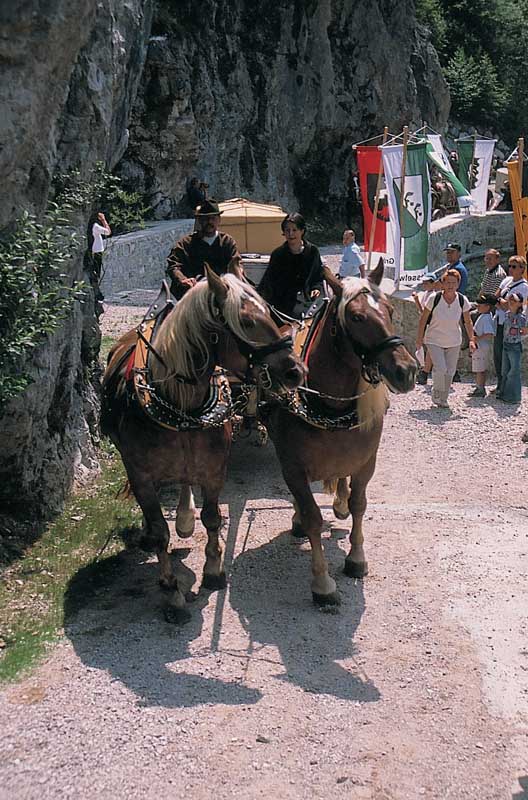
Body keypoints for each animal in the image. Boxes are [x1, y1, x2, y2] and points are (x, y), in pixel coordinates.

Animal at [102, 266, 306, 620]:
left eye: (269, 311)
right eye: (246, 321)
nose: (295, 370)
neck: (181, 406)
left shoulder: (213, 470)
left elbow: (212, 517)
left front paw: (213, 570)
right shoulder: (141, 477)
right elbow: (160, 530)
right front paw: (171, 589)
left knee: (185, 482)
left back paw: (185, 518)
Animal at [262, 262, 416, 608]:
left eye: (389, 309)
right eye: (356, 317)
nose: (407, 371)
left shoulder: (366, 460)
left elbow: (360, 504)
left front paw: (356, 558)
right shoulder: (292, 465)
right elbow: (311, 516)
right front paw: (322, 584)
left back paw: (340, 501)